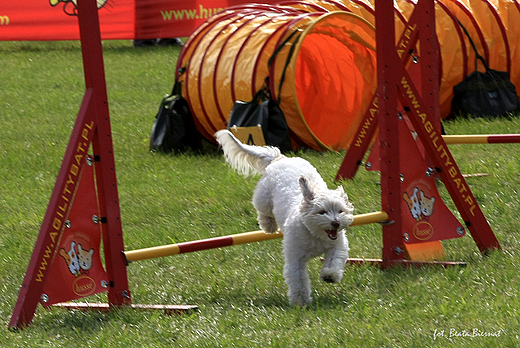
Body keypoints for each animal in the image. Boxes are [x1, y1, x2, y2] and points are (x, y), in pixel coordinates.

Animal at [215, 130, 354, 304]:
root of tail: (279, 158)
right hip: (264, 198)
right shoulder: (295, 257)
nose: (336, 223)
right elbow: (298, 279)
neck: (313, 233)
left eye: (340, 211)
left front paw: (330, 275)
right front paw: (301, 302)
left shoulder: (337, 246)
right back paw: (269, 226)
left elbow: (333, 260)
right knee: (263, 212)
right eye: (322, 212)